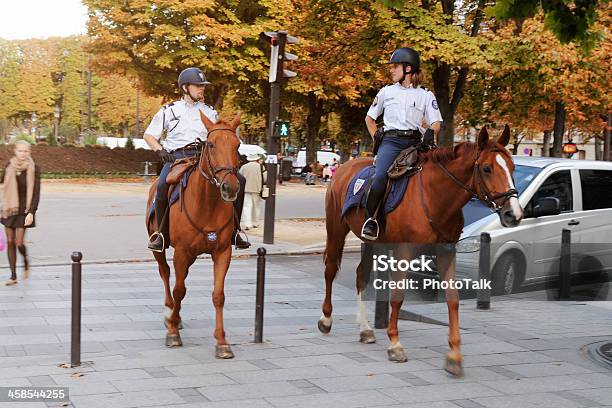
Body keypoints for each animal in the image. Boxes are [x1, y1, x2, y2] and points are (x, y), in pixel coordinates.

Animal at [147, 113, 243, 358]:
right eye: (211, 144)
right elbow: (179, 289)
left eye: (237, 145)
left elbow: (218, 295)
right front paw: (172, 332)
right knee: (165, 274)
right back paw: (169, 313)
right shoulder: (181, 252)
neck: (207, 203)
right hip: (161, 248)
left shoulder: (222, 252)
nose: (230, 187)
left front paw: (222, 342)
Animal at [318, 126, 524, 374]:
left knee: (361, 276)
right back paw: (326, 319)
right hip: (336, 229)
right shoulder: (402, 254)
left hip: (372, 243)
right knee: (330, 269)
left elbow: (452, 299)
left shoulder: (446, 253)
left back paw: (365, 329)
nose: (514, 214)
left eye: (512, 167)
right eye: (487, 168)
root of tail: (345, 166)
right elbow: (397, 297)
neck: (435, 197)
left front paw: (454, 355)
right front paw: (395, 344)